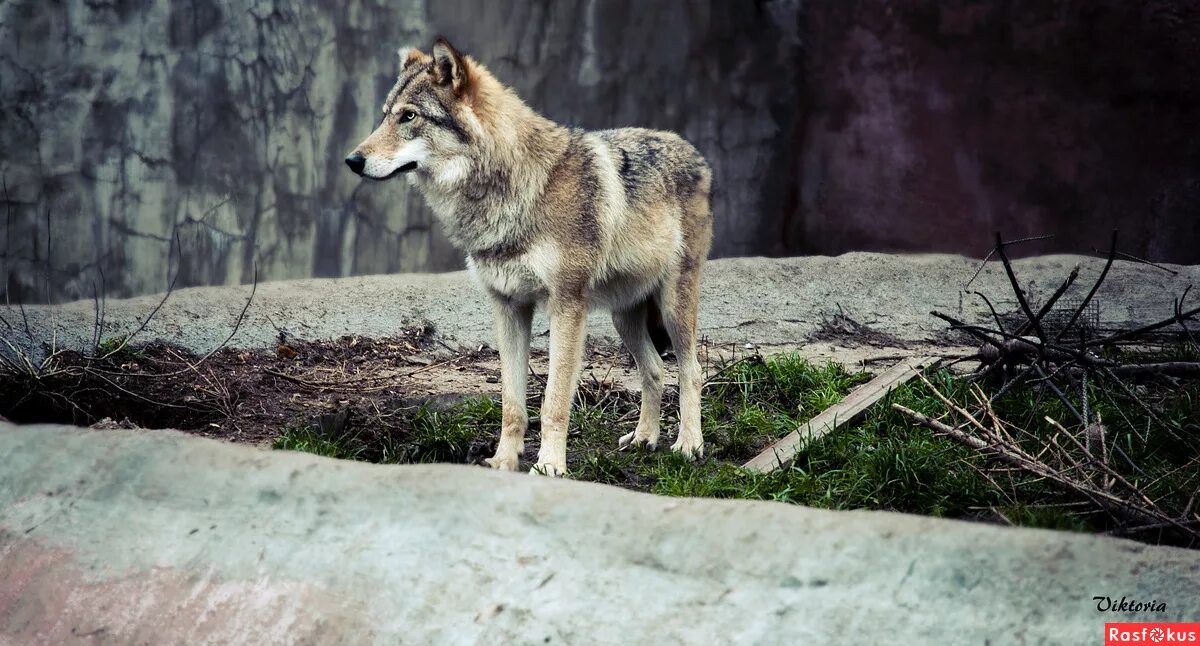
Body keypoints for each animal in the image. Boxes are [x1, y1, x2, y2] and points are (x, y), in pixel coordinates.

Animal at [345, 39, 710, 473]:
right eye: (386, 115)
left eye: (409, 116)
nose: (352, 160)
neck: (516, 187)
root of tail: (692, 150)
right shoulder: (507, 306)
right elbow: (512, 403)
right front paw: (504, 461)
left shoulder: (567, 306)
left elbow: (554, 401)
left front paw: (549, 466)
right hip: (623, 316)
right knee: (653, 370)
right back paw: (644, 439)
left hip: (672, 307)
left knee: (691, 371)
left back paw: (689, 445)